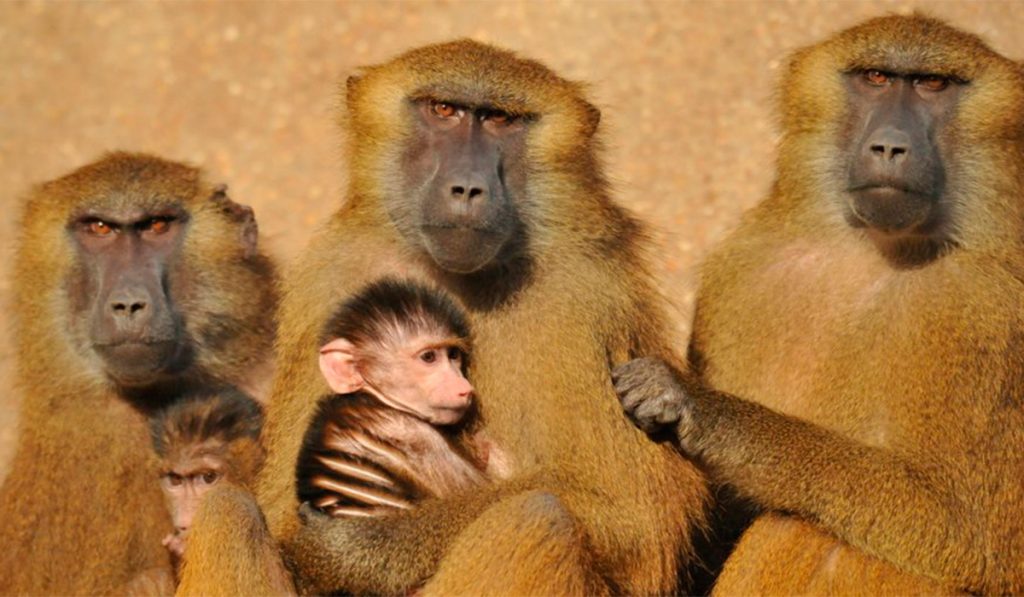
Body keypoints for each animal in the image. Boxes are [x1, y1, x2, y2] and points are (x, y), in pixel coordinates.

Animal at [614, 14, 1024, 596]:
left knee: (813, 531)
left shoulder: (986, 313)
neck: (874, 250)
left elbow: (972, 535)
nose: (890, 147)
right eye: (875, 77)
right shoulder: (743, 271)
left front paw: (698, 407)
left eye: (933, 84)